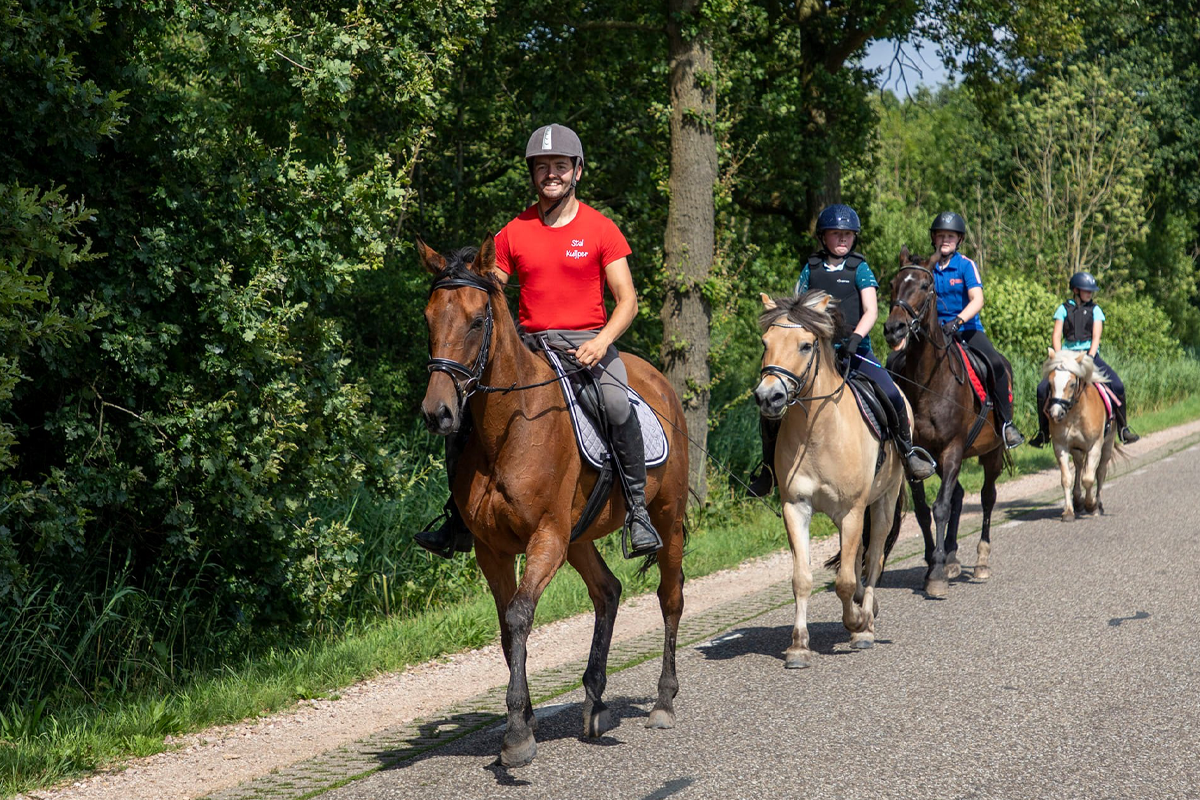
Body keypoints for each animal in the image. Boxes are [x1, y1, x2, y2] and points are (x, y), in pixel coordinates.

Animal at [417, 236, 689, 768]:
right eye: (428, 317)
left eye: (477, 320)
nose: (439, 413)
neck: (509, 427)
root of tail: (660, 382)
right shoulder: (493, 550)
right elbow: (507, 629)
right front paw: (521, 721)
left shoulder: (545, 538)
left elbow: (521, 615)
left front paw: (518, 737)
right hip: (579, 536)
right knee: (608, 592)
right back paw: (595, 704)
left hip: (665, 521)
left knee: (670, 597)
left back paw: (664, 702)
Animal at [754, 290, 906, 667]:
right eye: (765, 342)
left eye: (806, 345)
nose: (769, 397)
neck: (817, 432)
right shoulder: (796, 507)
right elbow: (802, 578)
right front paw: (798, 646)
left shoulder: (851, 511)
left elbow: (845, 582)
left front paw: (857, 624)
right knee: (861, 556)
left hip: (883, 501)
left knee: (875, 556)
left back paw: (866, 623)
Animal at [882, 247, 1009, 597]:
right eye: (893, 284)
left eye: (926, 286)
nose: (894, 329)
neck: (929, 381)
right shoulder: (915, 457)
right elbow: (925, 510)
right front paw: (933, 562)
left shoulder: (952, 449)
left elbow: (940, 507)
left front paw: (937, 574)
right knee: (959, 496)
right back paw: (951, 556)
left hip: (990, 453)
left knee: (986, 498)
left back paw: (980, 561)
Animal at [1041, 348, 1117, 521]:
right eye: (1050, 383)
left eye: (1072, 384)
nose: (1055, 413)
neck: (1075, 415)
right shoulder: (1060, 446)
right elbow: (1066, 478)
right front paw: (1068, 512)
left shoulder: (1095, 446)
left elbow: (1088, 479)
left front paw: (1091, 505)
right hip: (1077, 449)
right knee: (1079, 466)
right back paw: (1077, 501)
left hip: (1107, 444)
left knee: (1100, 472)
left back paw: (1098, 504)